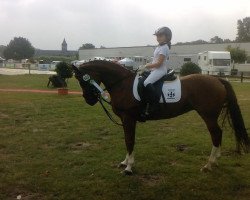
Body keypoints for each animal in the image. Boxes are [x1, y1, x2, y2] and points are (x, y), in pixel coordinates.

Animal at [72, 59, 248, 175]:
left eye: (82, 80)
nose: (89, 100)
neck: (122, 84)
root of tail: (217, 79)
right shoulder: (125, 120)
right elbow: (127, 140)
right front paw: (124, 162)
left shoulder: (129, 119)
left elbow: (129, 141)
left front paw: (129, 167)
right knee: (219, 133)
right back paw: (216, 159)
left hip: (208, 115)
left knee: (216, 134)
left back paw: (209, 164)